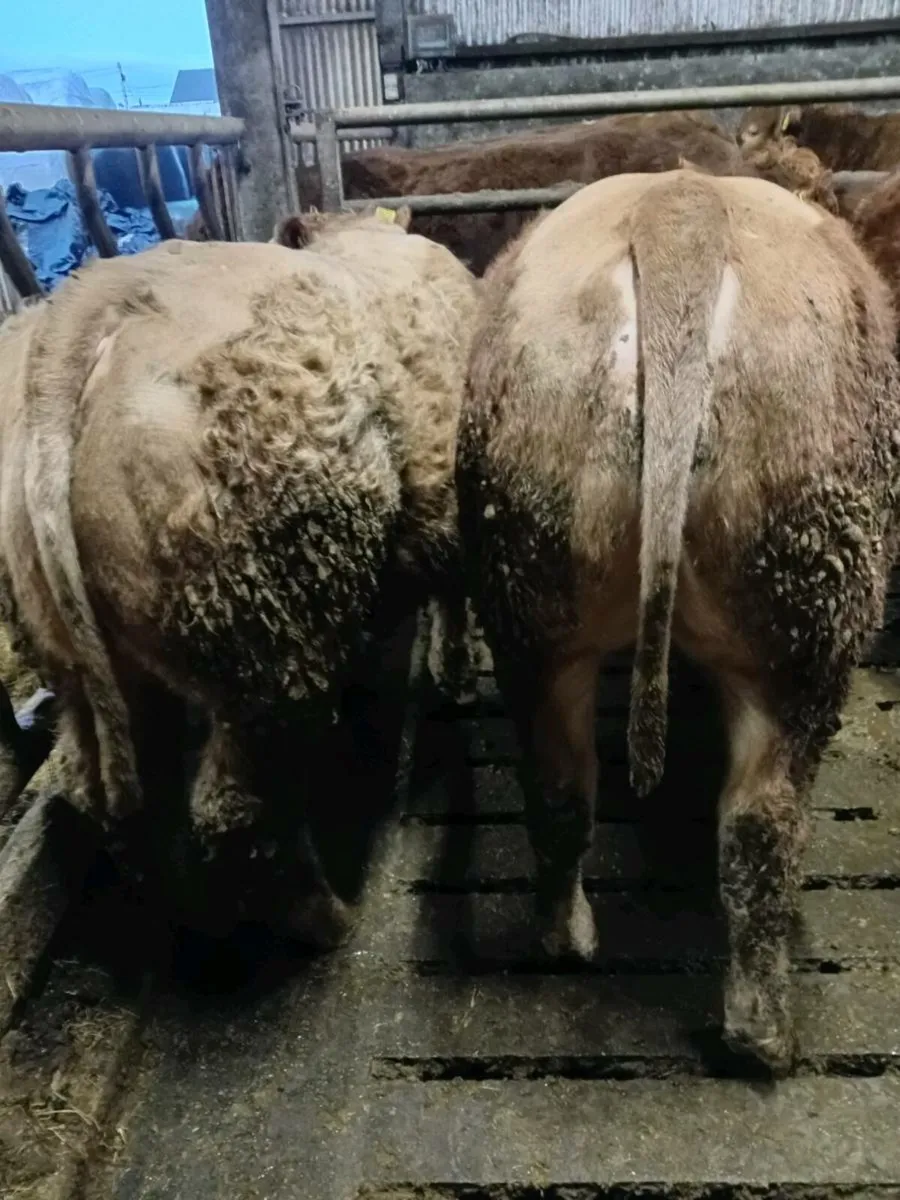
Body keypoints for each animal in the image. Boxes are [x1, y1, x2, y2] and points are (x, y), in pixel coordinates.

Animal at [0, 205, 478, 942]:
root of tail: (79, 321)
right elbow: (454, 596)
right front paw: (455, 674)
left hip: (78, 660)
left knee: (103, 781)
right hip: (263, 641)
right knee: (237, 809)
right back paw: (323, 916)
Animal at [456, 168, 900, 1073]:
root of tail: (681, 210)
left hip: (531, 599)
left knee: (562, 788)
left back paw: (568, 942)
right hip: (810, 626)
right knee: (764, 825)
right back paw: (763, 1035)